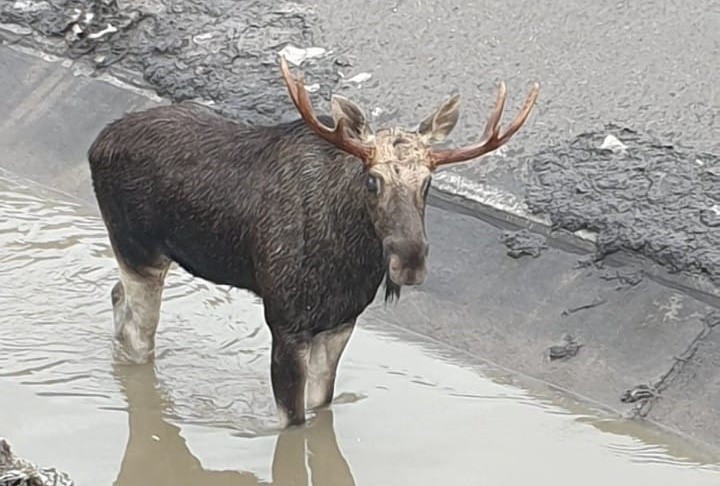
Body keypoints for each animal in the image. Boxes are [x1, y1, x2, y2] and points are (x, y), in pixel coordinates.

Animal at [87, 55, 536, 428]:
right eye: (372, 180)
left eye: (427, 183)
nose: (410, 261)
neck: (346, 261)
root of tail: (95, 144)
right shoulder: (285, 322)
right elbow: (295, 423)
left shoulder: (340, 322)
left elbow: (323, 404)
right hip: (137, 250)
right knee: (137, 332)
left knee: (115, 296)